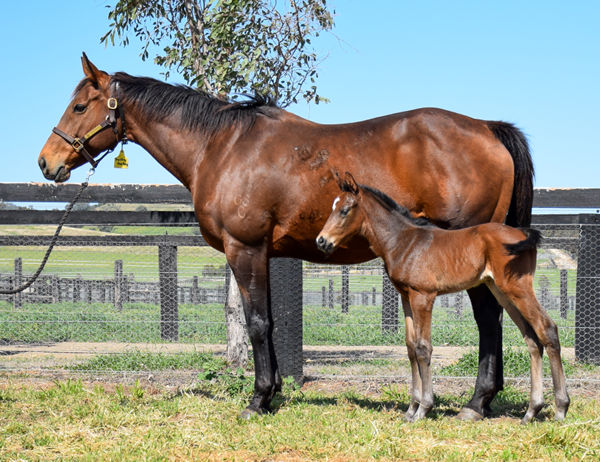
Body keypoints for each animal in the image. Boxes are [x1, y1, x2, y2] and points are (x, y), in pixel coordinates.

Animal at [316, 174, 568, 422]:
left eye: (344, 210)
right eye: (332, 207)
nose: (321, 241)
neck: (404, 241)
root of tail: (523, 234)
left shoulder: (423, 296)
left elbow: (423, 347)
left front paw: (424, 409)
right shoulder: (406, 297)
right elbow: (410, 347)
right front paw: (411, 409)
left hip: (517, 288)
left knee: (547, 329)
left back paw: (560, 408)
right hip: (501, 291)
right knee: (532, 338)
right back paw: (532, 411)